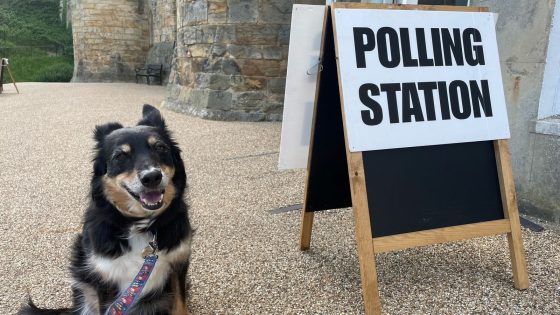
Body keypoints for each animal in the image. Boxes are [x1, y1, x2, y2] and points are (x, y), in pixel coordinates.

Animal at [20, 105, 192, 314]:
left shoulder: (178, 264)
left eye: (160, 148)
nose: (152, 177)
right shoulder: (104, 278)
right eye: (120, 156)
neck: (139, 224)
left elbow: (180, 305)